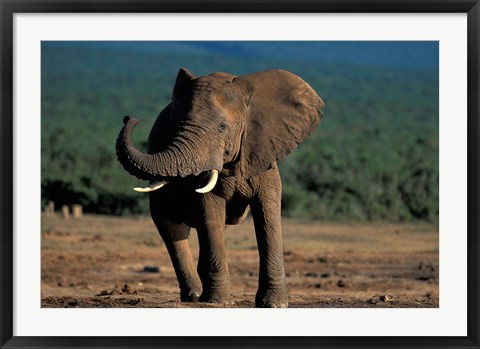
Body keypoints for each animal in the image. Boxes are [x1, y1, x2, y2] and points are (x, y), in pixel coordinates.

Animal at [115, 66, 324, 306]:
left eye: (222, 127)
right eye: (176, 126)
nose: (128, 117)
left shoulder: (263, 151)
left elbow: (267, 211)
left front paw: (274, 304)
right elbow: (209, 209)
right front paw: (217, 302)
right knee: (172, 227)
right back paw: (195, 296)